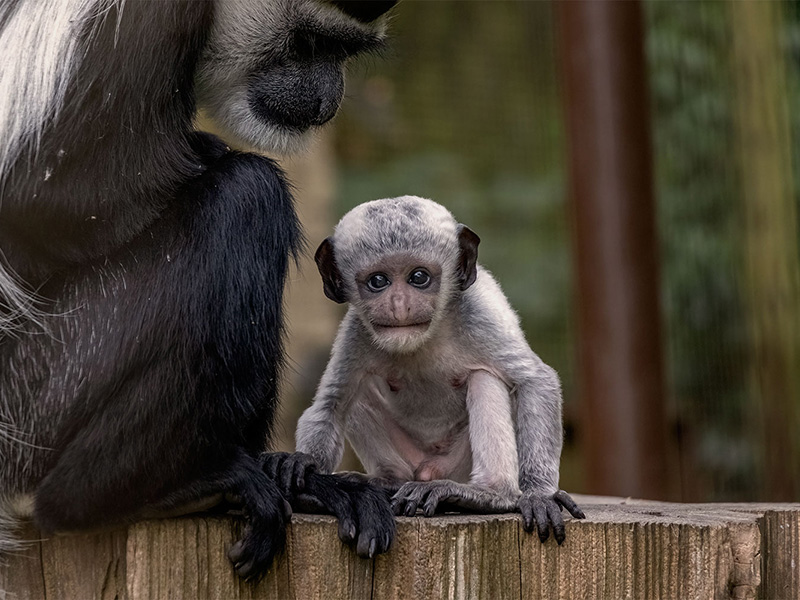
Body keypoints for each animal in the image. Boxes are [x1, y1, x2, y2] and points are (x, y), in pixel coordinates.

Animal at [0, 0, 396, 580]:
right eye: (307, 43)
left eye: (343, 50)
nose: (328, 98)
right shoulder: (137, 20)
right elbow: (47, 199)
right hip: (47, 382)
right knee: (247, 195)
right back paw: (139, 492)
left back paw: (293, 480)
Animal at [296, 196, 584, 544]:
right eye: (378, 281)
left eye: (419, 277)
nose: (399, 306)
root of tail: (427, 471)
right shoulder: (356, 333)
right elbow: (331, 404)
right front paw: (306, 477)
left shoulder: (476, 315)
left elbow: (536, 381)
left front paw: (539, 495)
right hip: (408, 457)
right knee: (360, 393)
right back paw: (386, 482)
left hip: (457, 462)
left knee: (484, 377)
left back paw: (484, 494)